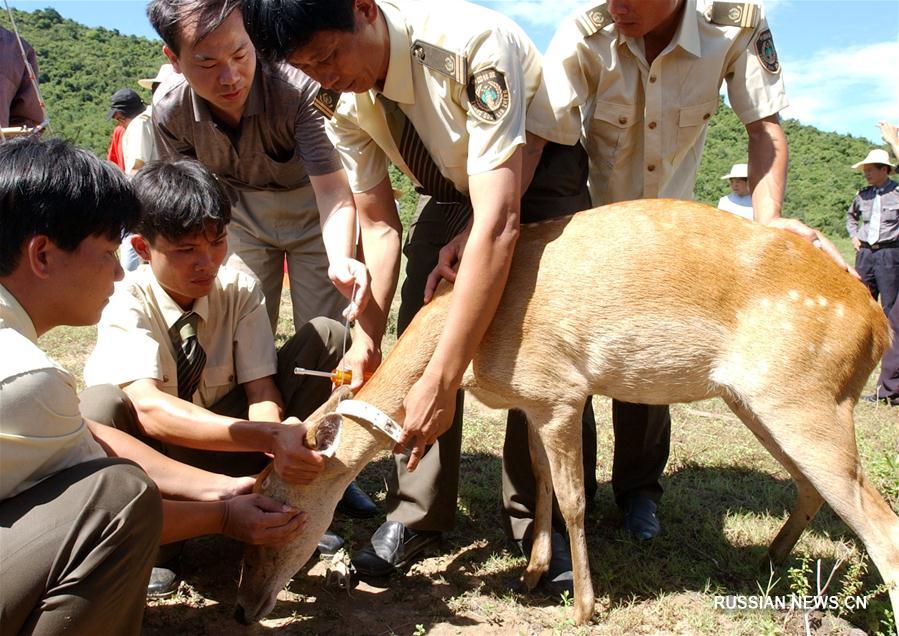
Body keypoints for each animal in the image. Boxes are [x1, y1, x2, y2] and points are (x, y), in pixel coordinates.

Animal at [234, 199, 899, 628]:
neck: (475, 348)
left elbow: (577, 499)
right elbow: (542, 484)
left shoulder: (561, 391)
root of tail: (877, 322)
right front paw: (530, 576)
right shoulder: (532, 400)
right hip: (761, 401)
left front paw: (582, 607)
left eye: (284, 512)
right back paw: (765, 565)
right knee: (812, 490)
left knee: (881, 526)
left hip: (805, 395)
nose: (244, 607)